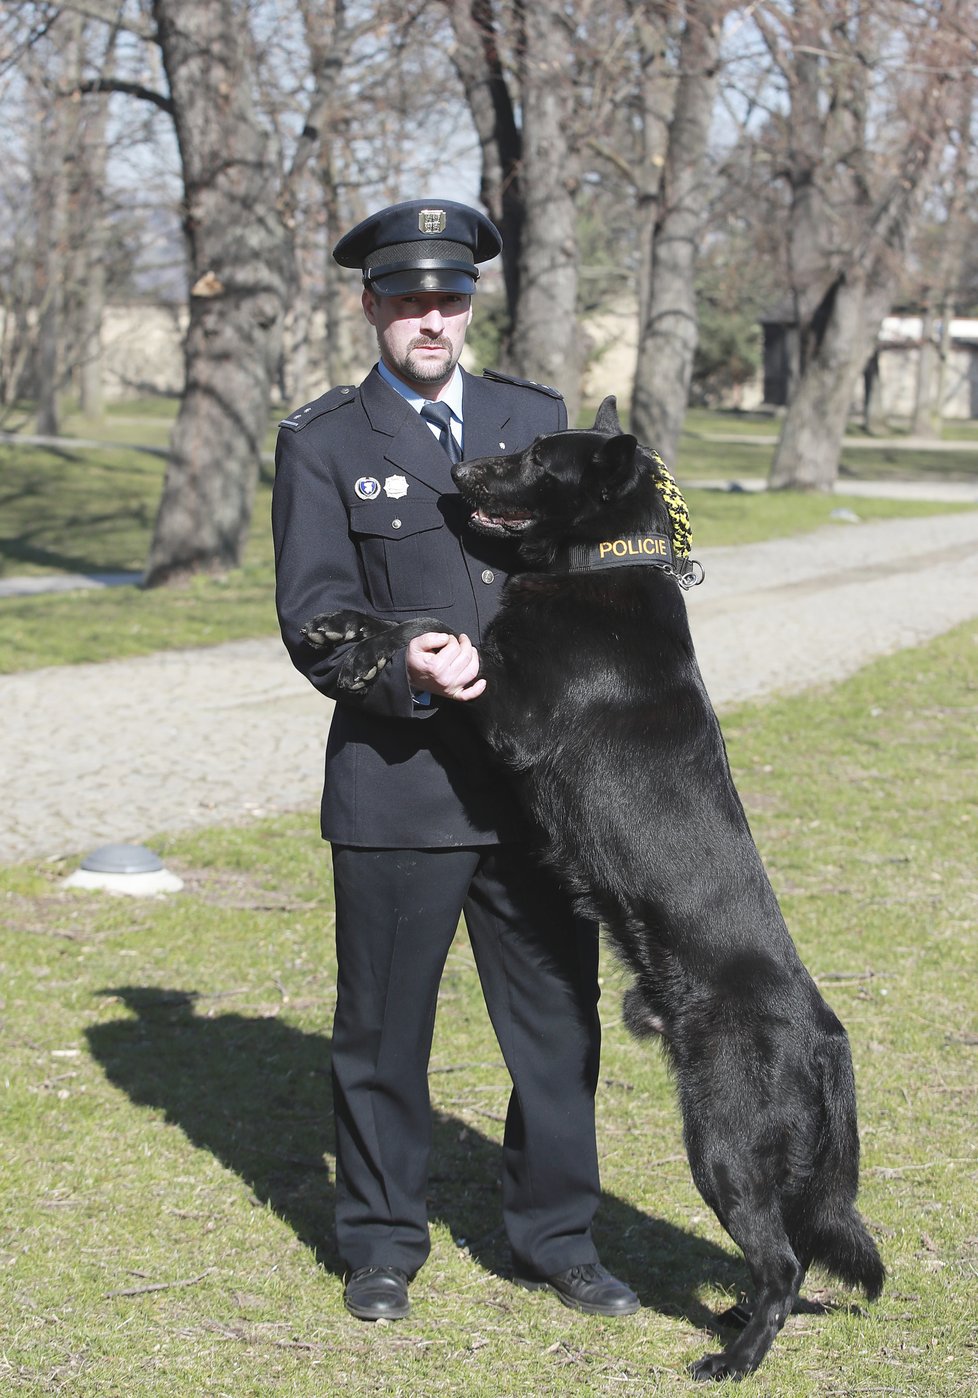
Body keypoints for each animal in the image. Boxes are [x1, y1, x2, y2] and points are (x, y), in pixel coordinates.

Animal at [301, 399, 882, 1381]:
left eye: (537, 455)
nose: (457, 475)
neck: (601, 562)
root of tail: (827, 1038)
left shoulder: (507, 709)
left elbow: (433, 630)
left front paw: (365, 642)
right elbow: (421, 617)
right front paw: (343, 623)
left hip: (722, 1147)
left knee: (783, 1260)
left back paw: (735, 1358)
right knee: (795, 1254)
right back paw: (736, 1321)